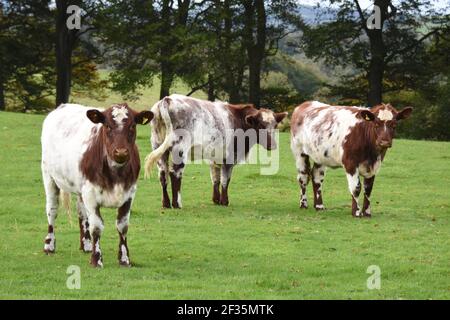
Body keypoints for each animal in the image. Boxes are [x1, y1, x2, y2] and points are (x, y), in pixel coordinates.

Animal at [40, 103, 153, 268]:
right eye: (107, 126)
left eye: (132, 125)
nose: (121, 152)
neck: (116, 174)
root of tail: (62, 106)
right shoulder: (90, 193)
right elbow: (97, 226)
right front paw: (96, 259)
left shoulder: (129, 193)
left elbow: (123, 225)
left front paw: (124, 259)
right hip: (49, 176)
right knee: (52, 210)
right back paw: (49, 245)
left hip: (80, 188)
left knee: (81, 213)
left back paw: (86, 245)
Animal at [142, 93, 286, 208]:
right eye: (261, 125)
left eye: (275, 125)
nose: (272, 145)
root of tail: (167, 99)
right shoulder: (229, 158)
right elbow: (225, 180)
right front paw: (224, 201)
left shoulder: (214, 158)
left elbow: (215, 178)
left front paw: (216, 200)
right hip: (180, 148)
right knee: (175, 173)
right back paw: (177, 204)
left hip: (158, 146)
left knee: (163, 174)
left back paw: (166, 203)